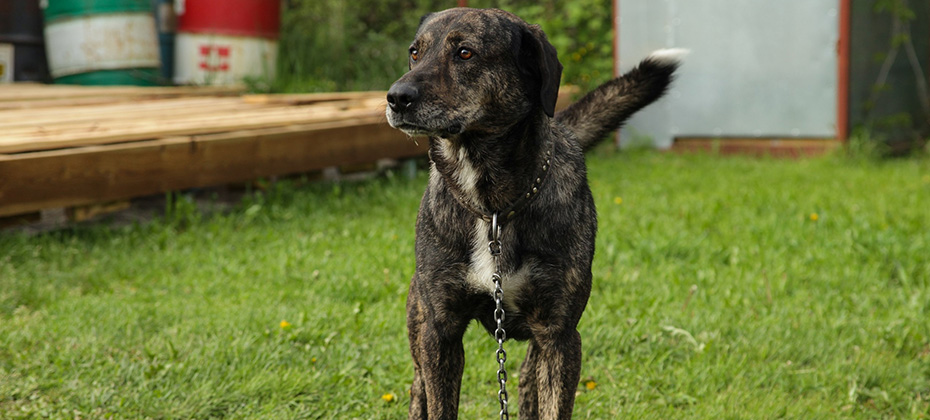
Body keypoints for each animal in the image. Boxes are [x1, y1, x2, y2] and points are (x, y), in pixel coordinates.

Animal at [384, 7, 680, 420]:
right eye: (415, 52)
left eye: (465, 53)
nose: (396, 97)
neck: (492, 207)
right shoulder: (440, 332)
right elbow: (440, 403)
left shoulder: (559, 336)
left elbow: (553, 403)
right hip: (420, 331)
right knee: (419, 388)